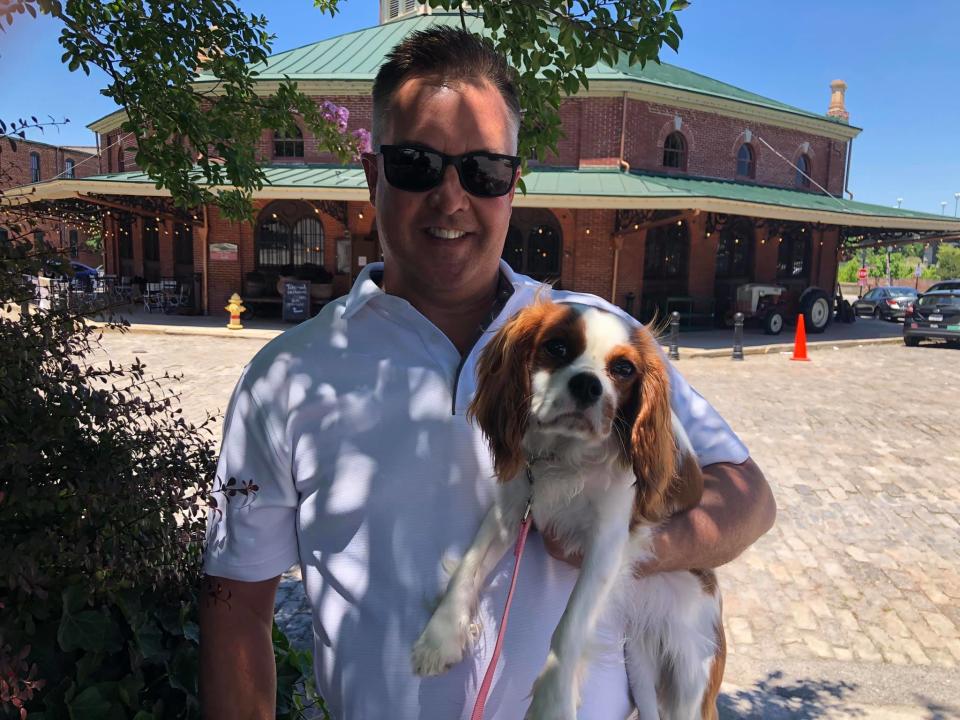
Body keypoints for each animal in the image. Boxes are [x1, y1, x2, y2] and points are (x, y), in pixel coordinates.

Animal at [408, 300, 724, 716]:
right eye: (556, 347)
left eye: (624, 369)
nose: (588, 384)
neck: (565, 453)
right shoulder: (512, 509)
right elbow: (469, 564)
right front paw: (439, 635)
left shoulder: (608, 542)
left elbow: (571, 623)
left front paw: (553, 701)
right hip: (640, 662)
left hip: (690, 676)